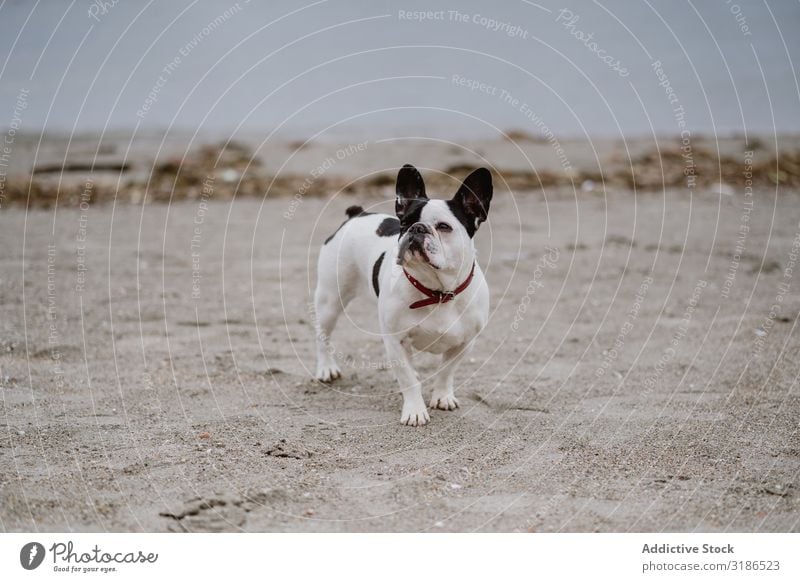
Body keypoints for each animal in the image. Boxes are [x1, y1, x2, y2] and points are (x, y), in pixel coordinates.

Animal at [314, 167, 490, 426]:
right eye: (405, 223)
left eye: (444, 226)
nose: (417, 228)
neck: (437, 292)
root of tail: (357, 215)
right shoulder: (395, 340)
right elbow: (408, 380)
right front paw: (415, 410)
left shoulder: (465, 342)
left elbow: (446, 371)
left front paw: (442, 396)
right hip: (330, 299)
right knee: (323, 335)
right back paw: (326, 368)